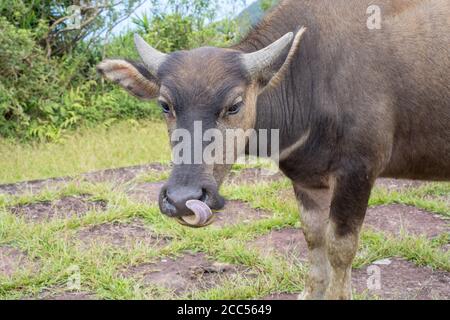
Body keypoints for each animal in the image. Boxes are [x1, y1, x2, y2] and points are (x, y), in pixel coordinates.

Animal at [96, 0, 448, 300]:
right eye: (165, 105)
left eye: (234, 105)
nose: (183, 199)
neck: (311, 81)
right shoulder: (307, 180)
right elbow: (314, 237)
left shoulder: (359, 171)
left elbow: (341, 247)